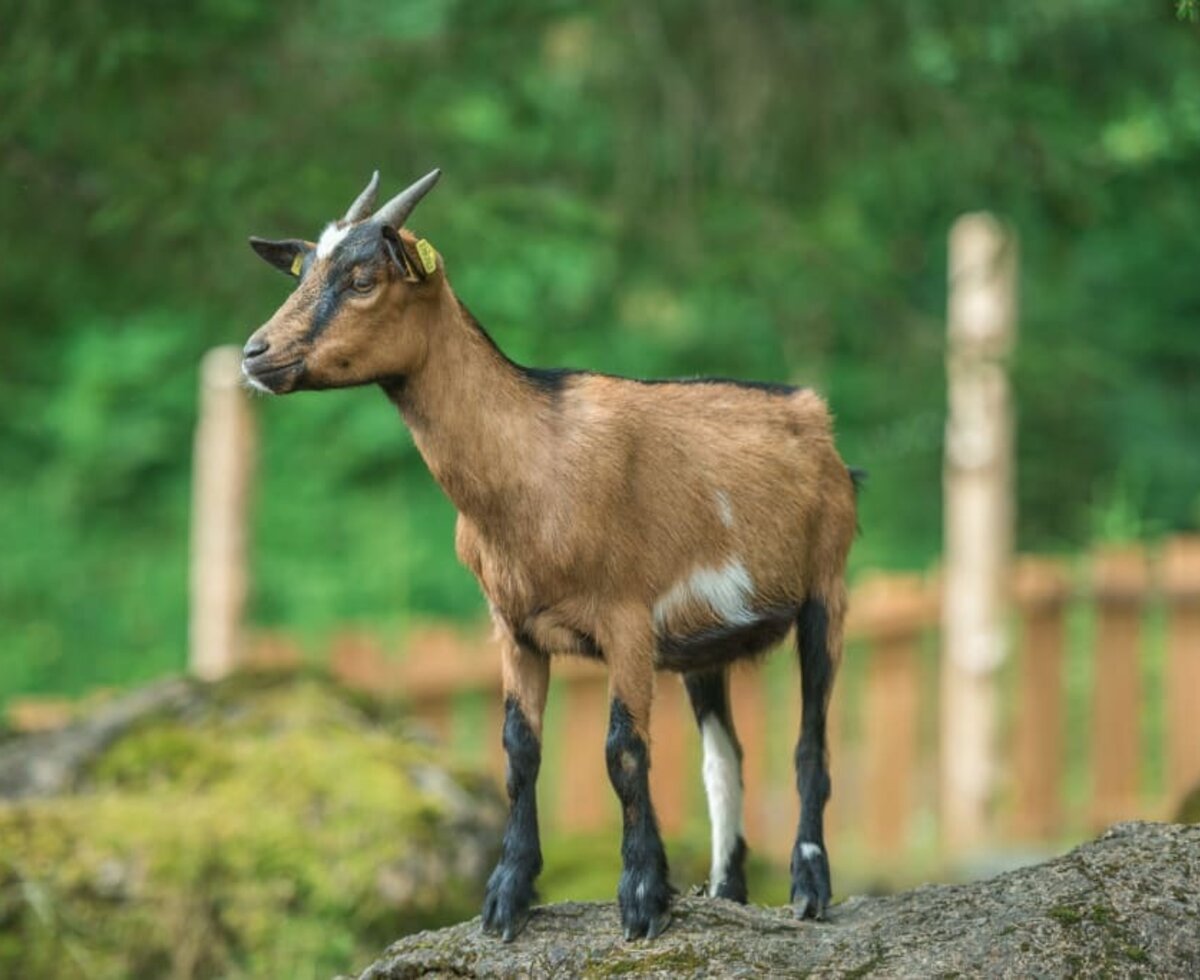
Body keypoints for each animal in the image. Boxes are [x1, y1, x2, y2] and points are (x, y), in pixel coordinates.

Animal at [243, 167, 859, 940]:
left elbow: (623, 750)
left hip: (825, 590)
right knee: (725, 758)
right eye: (302, 272)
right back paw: (726, 892)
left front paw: (640, 897)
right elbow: (518, 750)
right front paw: (507, 894)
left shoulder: (627, 619)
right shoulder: (514, 627)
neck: (535, 461)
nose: (255, 354)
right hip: (704, 648)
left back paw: (809, 887)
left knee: (811, 742)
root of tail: (815, 418)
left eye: (361, 279)